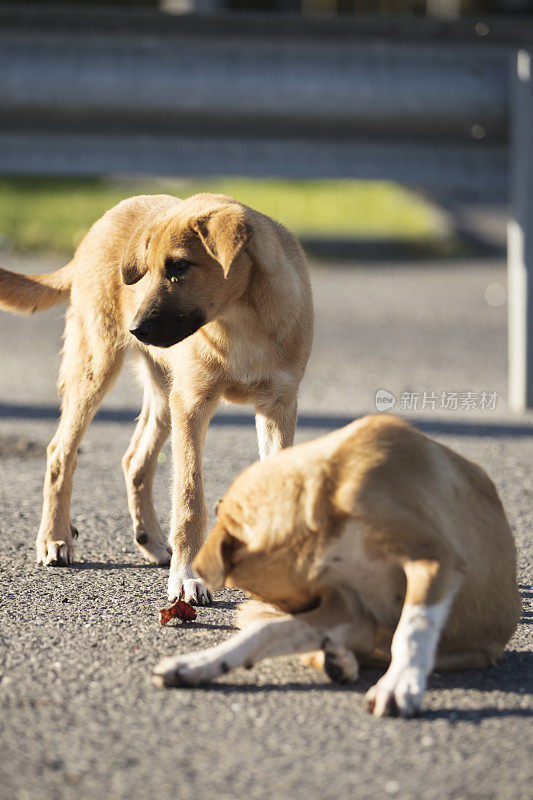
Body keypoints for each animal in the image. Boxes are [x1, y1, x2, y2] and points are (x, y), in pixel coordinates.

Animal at [0, 194, 314, 604]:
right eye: (147, 270)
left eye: (179, 266)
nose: (136, 328)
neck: (241, 321)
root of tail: (103, 220)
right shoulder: (193, 403)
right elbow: (189, 499)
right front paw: (186, 578)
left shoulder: (278, 406)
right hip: (97, 368)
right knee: (60, 452)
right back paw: (55, 539)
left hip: (166, 395)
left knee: (135, 460)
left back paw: (151, 541)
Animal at [152, 416, 516, 716]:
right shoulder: (347, 610)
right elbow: (265, 632)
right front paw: (198, 663)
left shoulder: (436, 559)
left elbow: (414, 627)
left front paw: (400, 682)